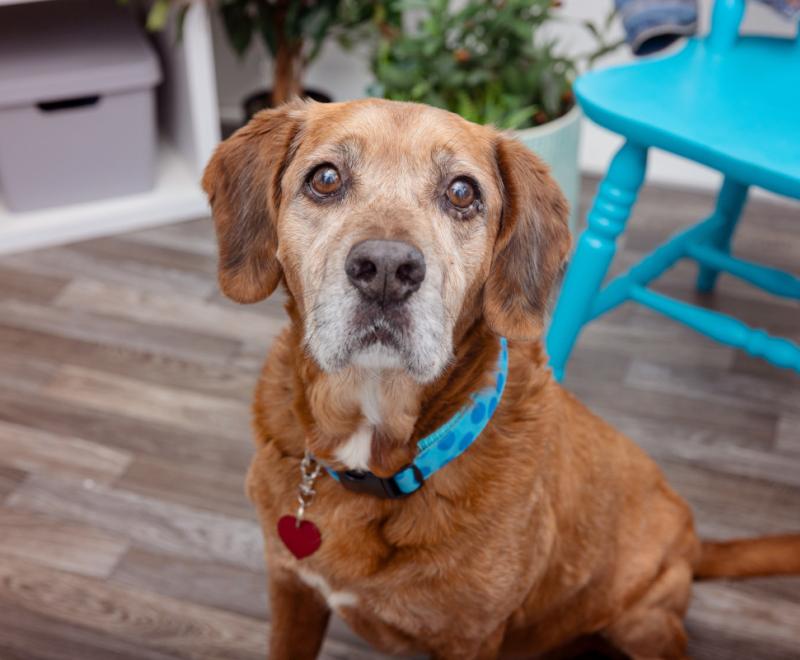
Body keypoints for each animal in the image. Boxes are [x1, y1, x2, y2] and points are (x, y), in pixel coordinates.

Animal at [203, 99, 800, 660]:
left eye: (462, 192)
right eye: (325, 179)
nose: (387, 269)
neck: (377, 450)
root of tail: (697, 543)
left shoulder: (469, 638)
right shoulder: (291, 590)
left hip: (643, 622)